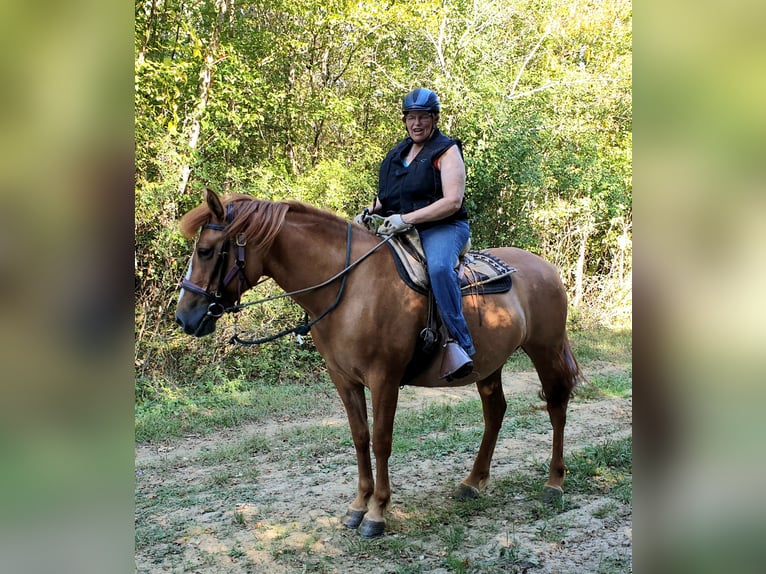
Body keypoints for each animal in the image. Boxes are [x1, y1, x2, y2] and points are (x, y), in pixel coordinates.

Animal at [176, 190, 584, 540]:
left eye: (206, 251)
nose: (184, 317)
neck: (350, 288)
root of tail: (545, 267)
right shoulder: (344, 379)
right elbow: (359, 438)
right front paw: (358, 506)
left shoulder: (384, 379)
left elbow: (381, 441)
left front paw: (377, 513)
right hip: (489, 365)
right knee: (495, 411)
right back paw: (473, 482)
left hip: (545, 350)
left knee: (556, 405)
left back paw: (554, 483)